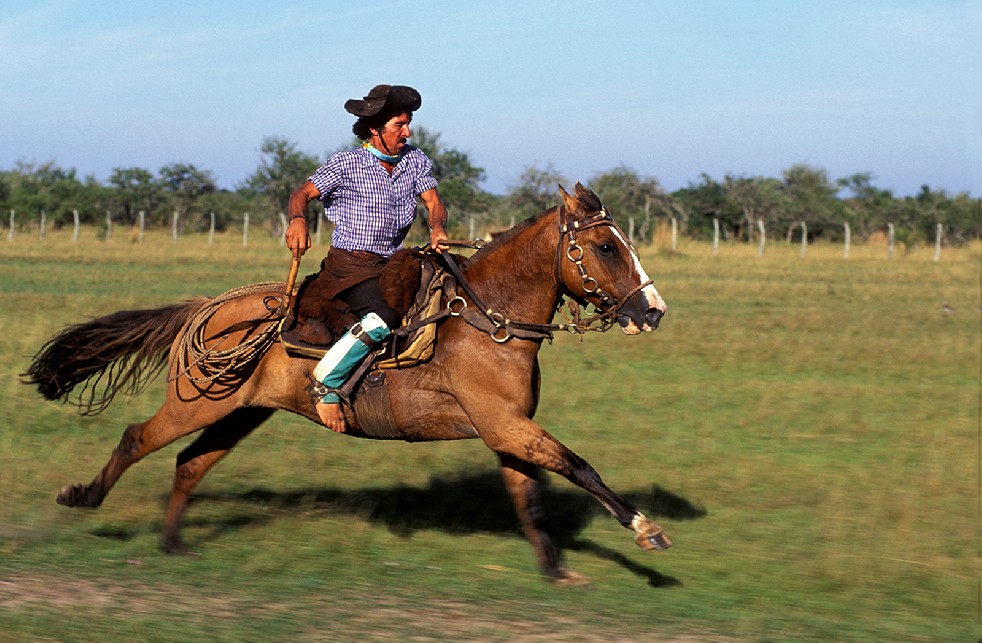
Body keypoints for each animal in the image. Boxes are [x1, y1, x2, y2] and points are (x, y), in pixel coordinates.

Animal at [32, 182, 676, 584]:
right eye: (605, 246)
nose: (653, 312)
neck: (485, 320)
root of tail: (207, 309)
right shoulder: (507, 426)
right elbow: (580, 467)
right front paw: (646, 531)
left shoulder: (507, 432)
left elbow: (530, 498)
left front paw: (557, 569)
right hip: (196, 403)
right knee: (136, 438)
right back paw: (83, 497)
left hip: (241, 412)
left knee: (190, 463)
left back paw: (172, 543)